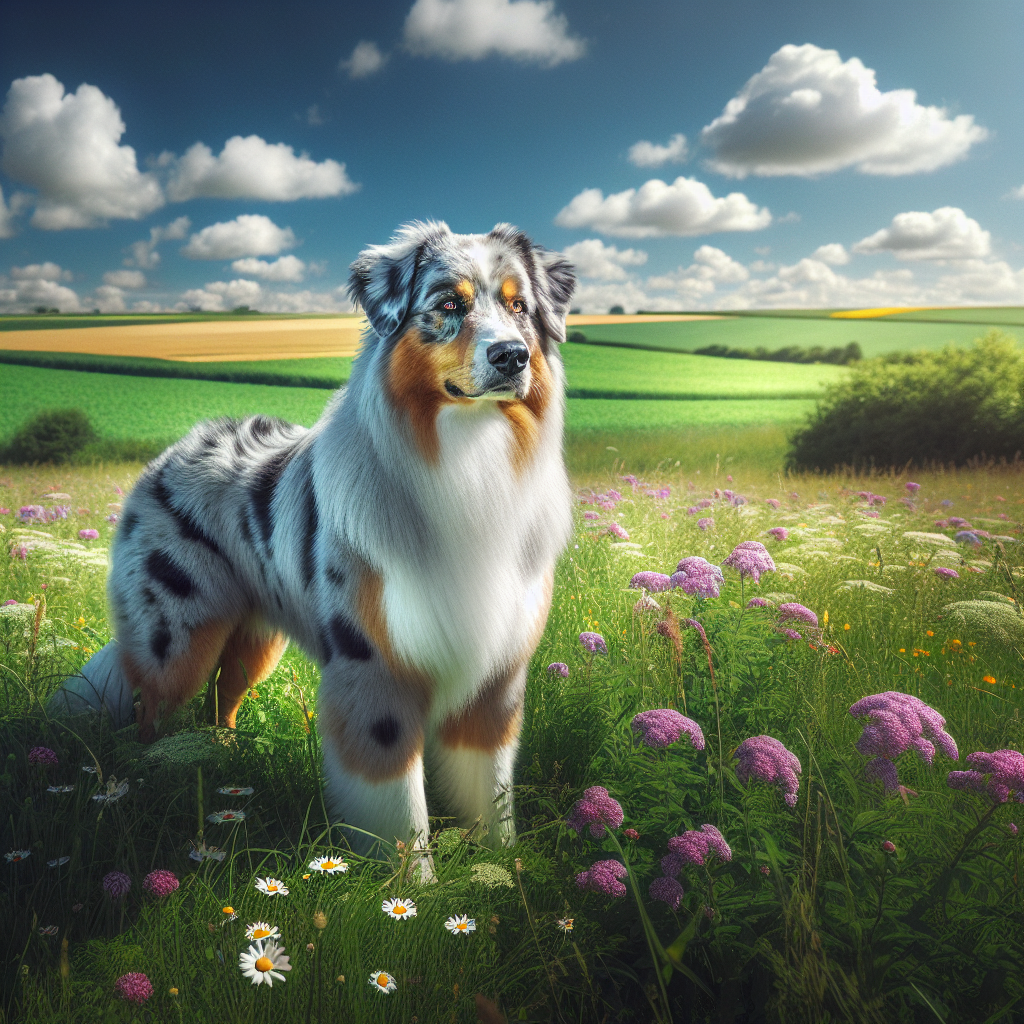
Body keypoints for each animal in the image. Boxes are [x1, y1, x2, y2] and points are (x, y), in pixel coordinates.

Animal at [56, 220, 577, 860]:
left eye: (519, 306)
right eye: (449, 305)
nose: (512, 355)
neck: (468, 458)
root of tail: (178, 447)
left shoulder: (497, 671)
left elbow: (492, 795)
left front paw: (504, 870)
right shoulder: (372, 664)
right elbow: (398, 805)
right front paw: (411, 881)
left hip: (255, 637)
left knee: (224, 697)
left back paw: (224, 756)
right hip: (177, 639)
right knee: (149, 708)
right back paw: (144, 782)